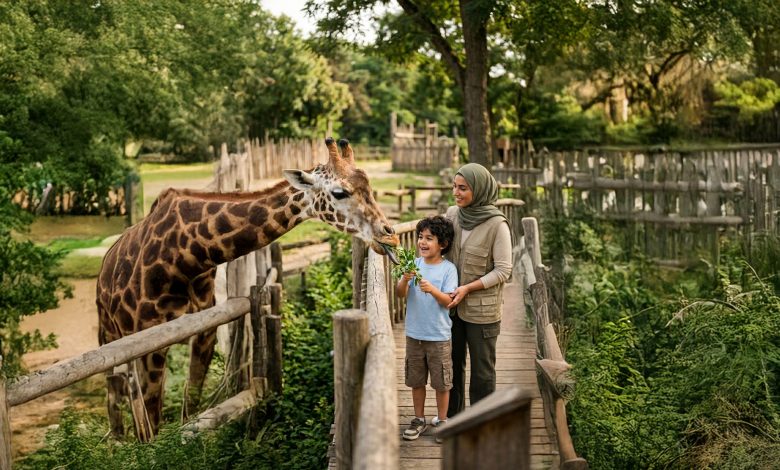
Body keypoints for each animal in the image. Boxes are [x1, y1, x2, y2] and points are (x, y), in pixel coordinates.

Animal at [96, 138, 399, 441]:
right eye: (339, 192)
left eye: (369, 186)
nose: (390, 236)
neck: (187, 255)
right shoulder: (148, 344)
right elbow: (153, 424)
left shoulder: (204, 331)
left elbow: (190, 407)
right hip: (111, 335)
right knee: (115, 393)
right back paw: (117, 442)